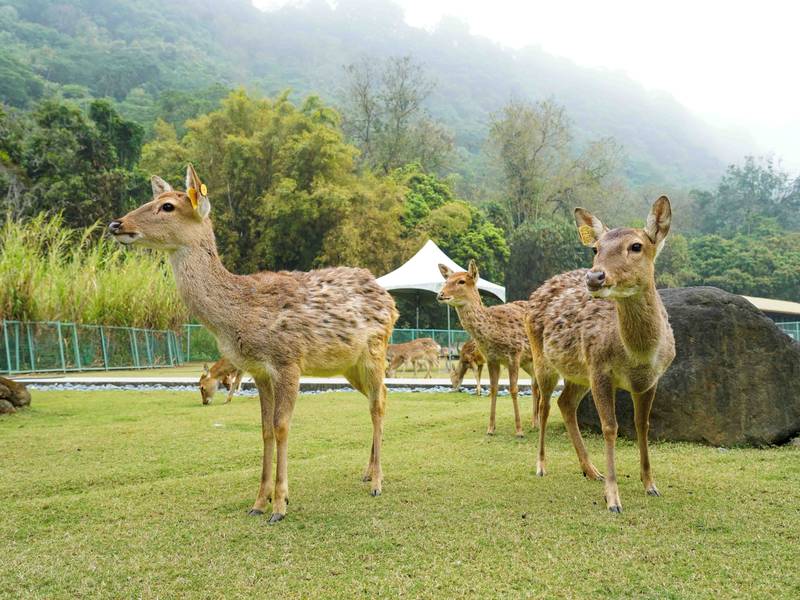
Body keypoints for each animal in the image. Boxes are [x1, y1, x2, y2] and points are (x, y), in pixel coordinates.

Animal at [109, 165, 398, 524]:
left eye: (167, 206)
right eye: (153, 199)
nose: (116, 224)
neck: (239, 313)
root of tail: (389, 299)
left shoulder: (288, 360)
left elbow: (282, 426)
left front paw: (280, 506)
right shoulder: (259, 371)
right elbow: (264, 429)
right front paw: (259, 502)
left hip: (375, 350)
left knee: (378, 403)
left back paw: (377, 482)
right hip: (348, 365)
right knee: (378, 396)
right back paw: (366, 472)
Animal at [437, 261, 540, 437]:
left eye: (461, 281)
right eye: (446, 280)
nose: (440, 294)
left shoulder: (515, 353)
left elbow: (514, 389)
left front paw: (519, 430)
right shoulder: (492, 359)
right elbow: (493, 388)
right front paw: (490, 428)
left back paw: (537, 423)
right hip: (528, 362)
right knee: (535, 384)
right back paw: (535, 422)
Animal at [524, 196, 675, 513]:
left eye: (636, 246)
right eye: (596, 248)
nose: (595, 276)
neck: (637, 355)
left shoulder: (651, 380)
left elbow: (642, 425)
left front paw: (650, 485)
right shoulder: (600, 369)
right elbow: (610, 427)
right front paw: (613, 499)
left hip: (579, 374)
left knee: (566, 403)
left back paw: (591, 470)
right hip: (543, 360)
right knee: (544, 405)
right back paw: (542, 465)